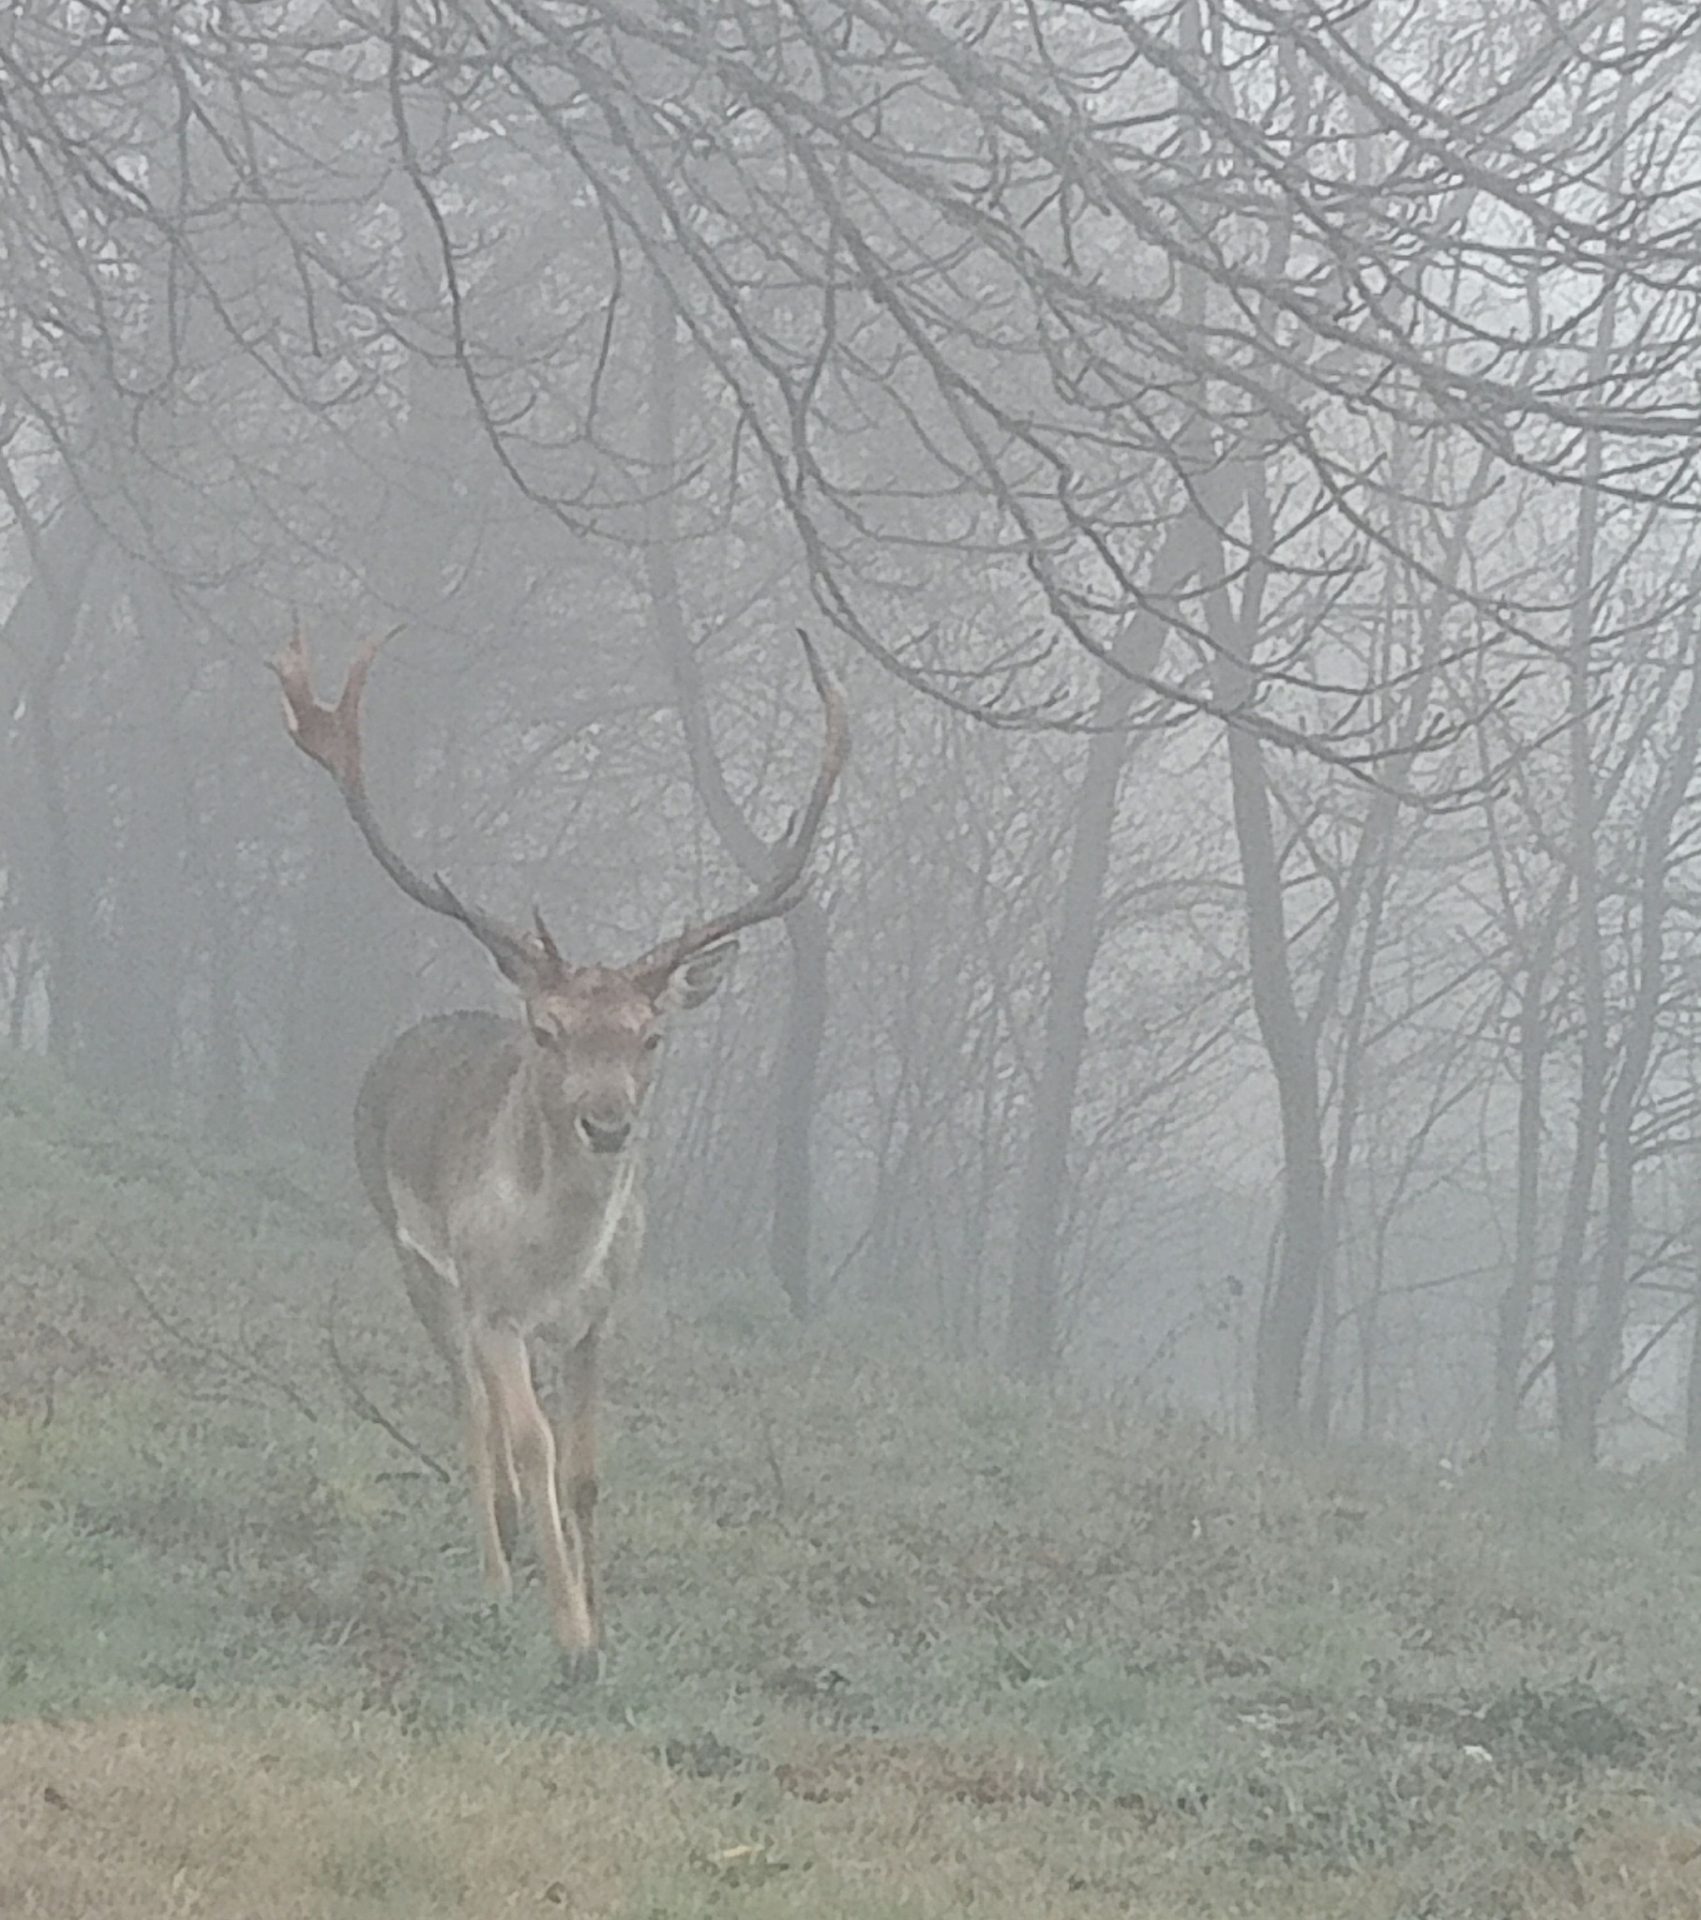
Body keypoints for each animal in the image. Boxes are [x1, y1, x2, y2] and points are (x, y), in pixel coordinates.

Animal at [271, 622, 847, 1679]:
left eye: (650, 1036)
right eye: (548, 1030)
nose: (607, 1122)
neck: (551, 1264)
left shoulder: (597, 1319)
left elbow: (583, 1468)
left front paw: (604, 1623)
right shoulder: (492, 1305)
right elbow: (530, 1444)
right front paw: (570, 1638)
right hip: (413, 1259)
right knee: (472, 1415)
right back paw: (499, 1579)